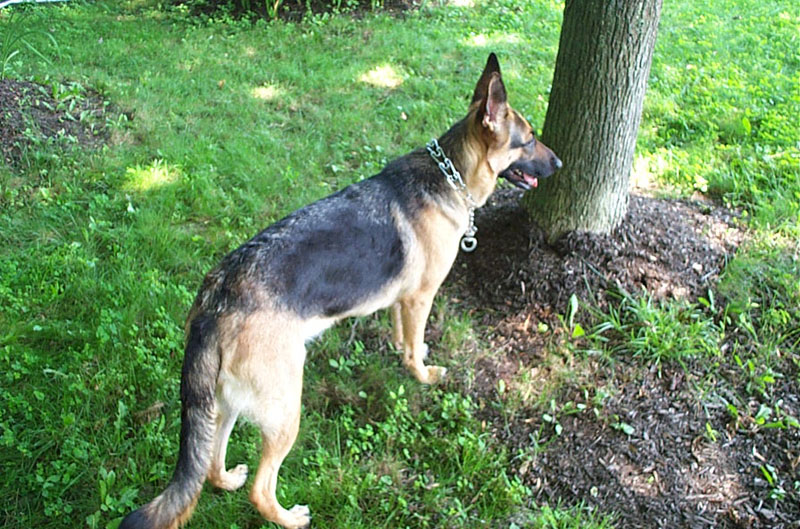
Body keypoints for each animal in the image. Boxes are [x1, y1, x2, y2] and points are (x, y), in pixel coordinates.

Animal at [120, 53, 561, 529]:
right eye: (530, 140)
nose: (559, 164)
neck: (452, 175)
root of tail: (216, 297)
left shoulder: (402, 301)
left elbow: (404, 338)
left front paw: (406, 355)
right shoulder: (421, 297)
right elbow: (415, 348)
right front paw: (423, 375)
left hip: (225, 402)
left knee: (209, 467)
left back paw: (228, 479)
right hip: (286, 409)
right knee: (261, 489)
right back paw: (290, 516)